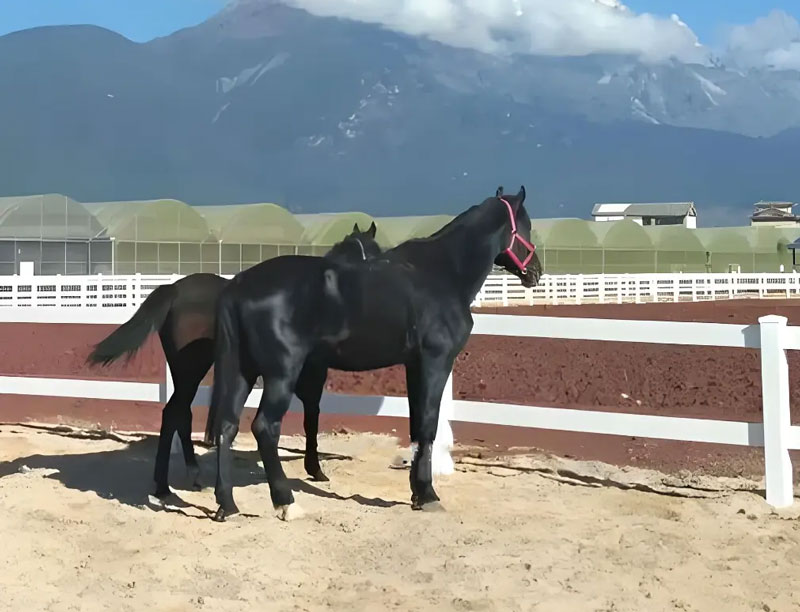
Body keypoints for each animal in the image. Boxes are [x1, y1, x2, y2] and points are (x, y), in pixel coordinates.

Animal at [84, 222, 382, 494]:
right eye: (376, 252)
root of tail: (174, 290)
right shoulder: (312, 373)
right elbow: (312, 417)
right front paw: (315, 469)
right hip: (193, 369)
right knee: (174, 413)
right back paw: (169, 484)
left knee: (181, 414)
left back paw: (183, 477)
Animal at [208, 186, 544, 520]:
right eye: (526, 225)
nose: (536, 272)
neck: (442, 272)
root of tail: (239, 285)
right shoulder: (436, 361)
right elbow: (428, 424)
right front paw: (428, 494)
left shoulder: (414, 365)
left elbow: (416, 424)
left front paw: (417, 493)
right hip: (281, 374)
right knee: (265, 428)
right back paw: (286, 502)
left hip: (243, 371)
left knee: (227, 426)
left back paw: (227, 504)